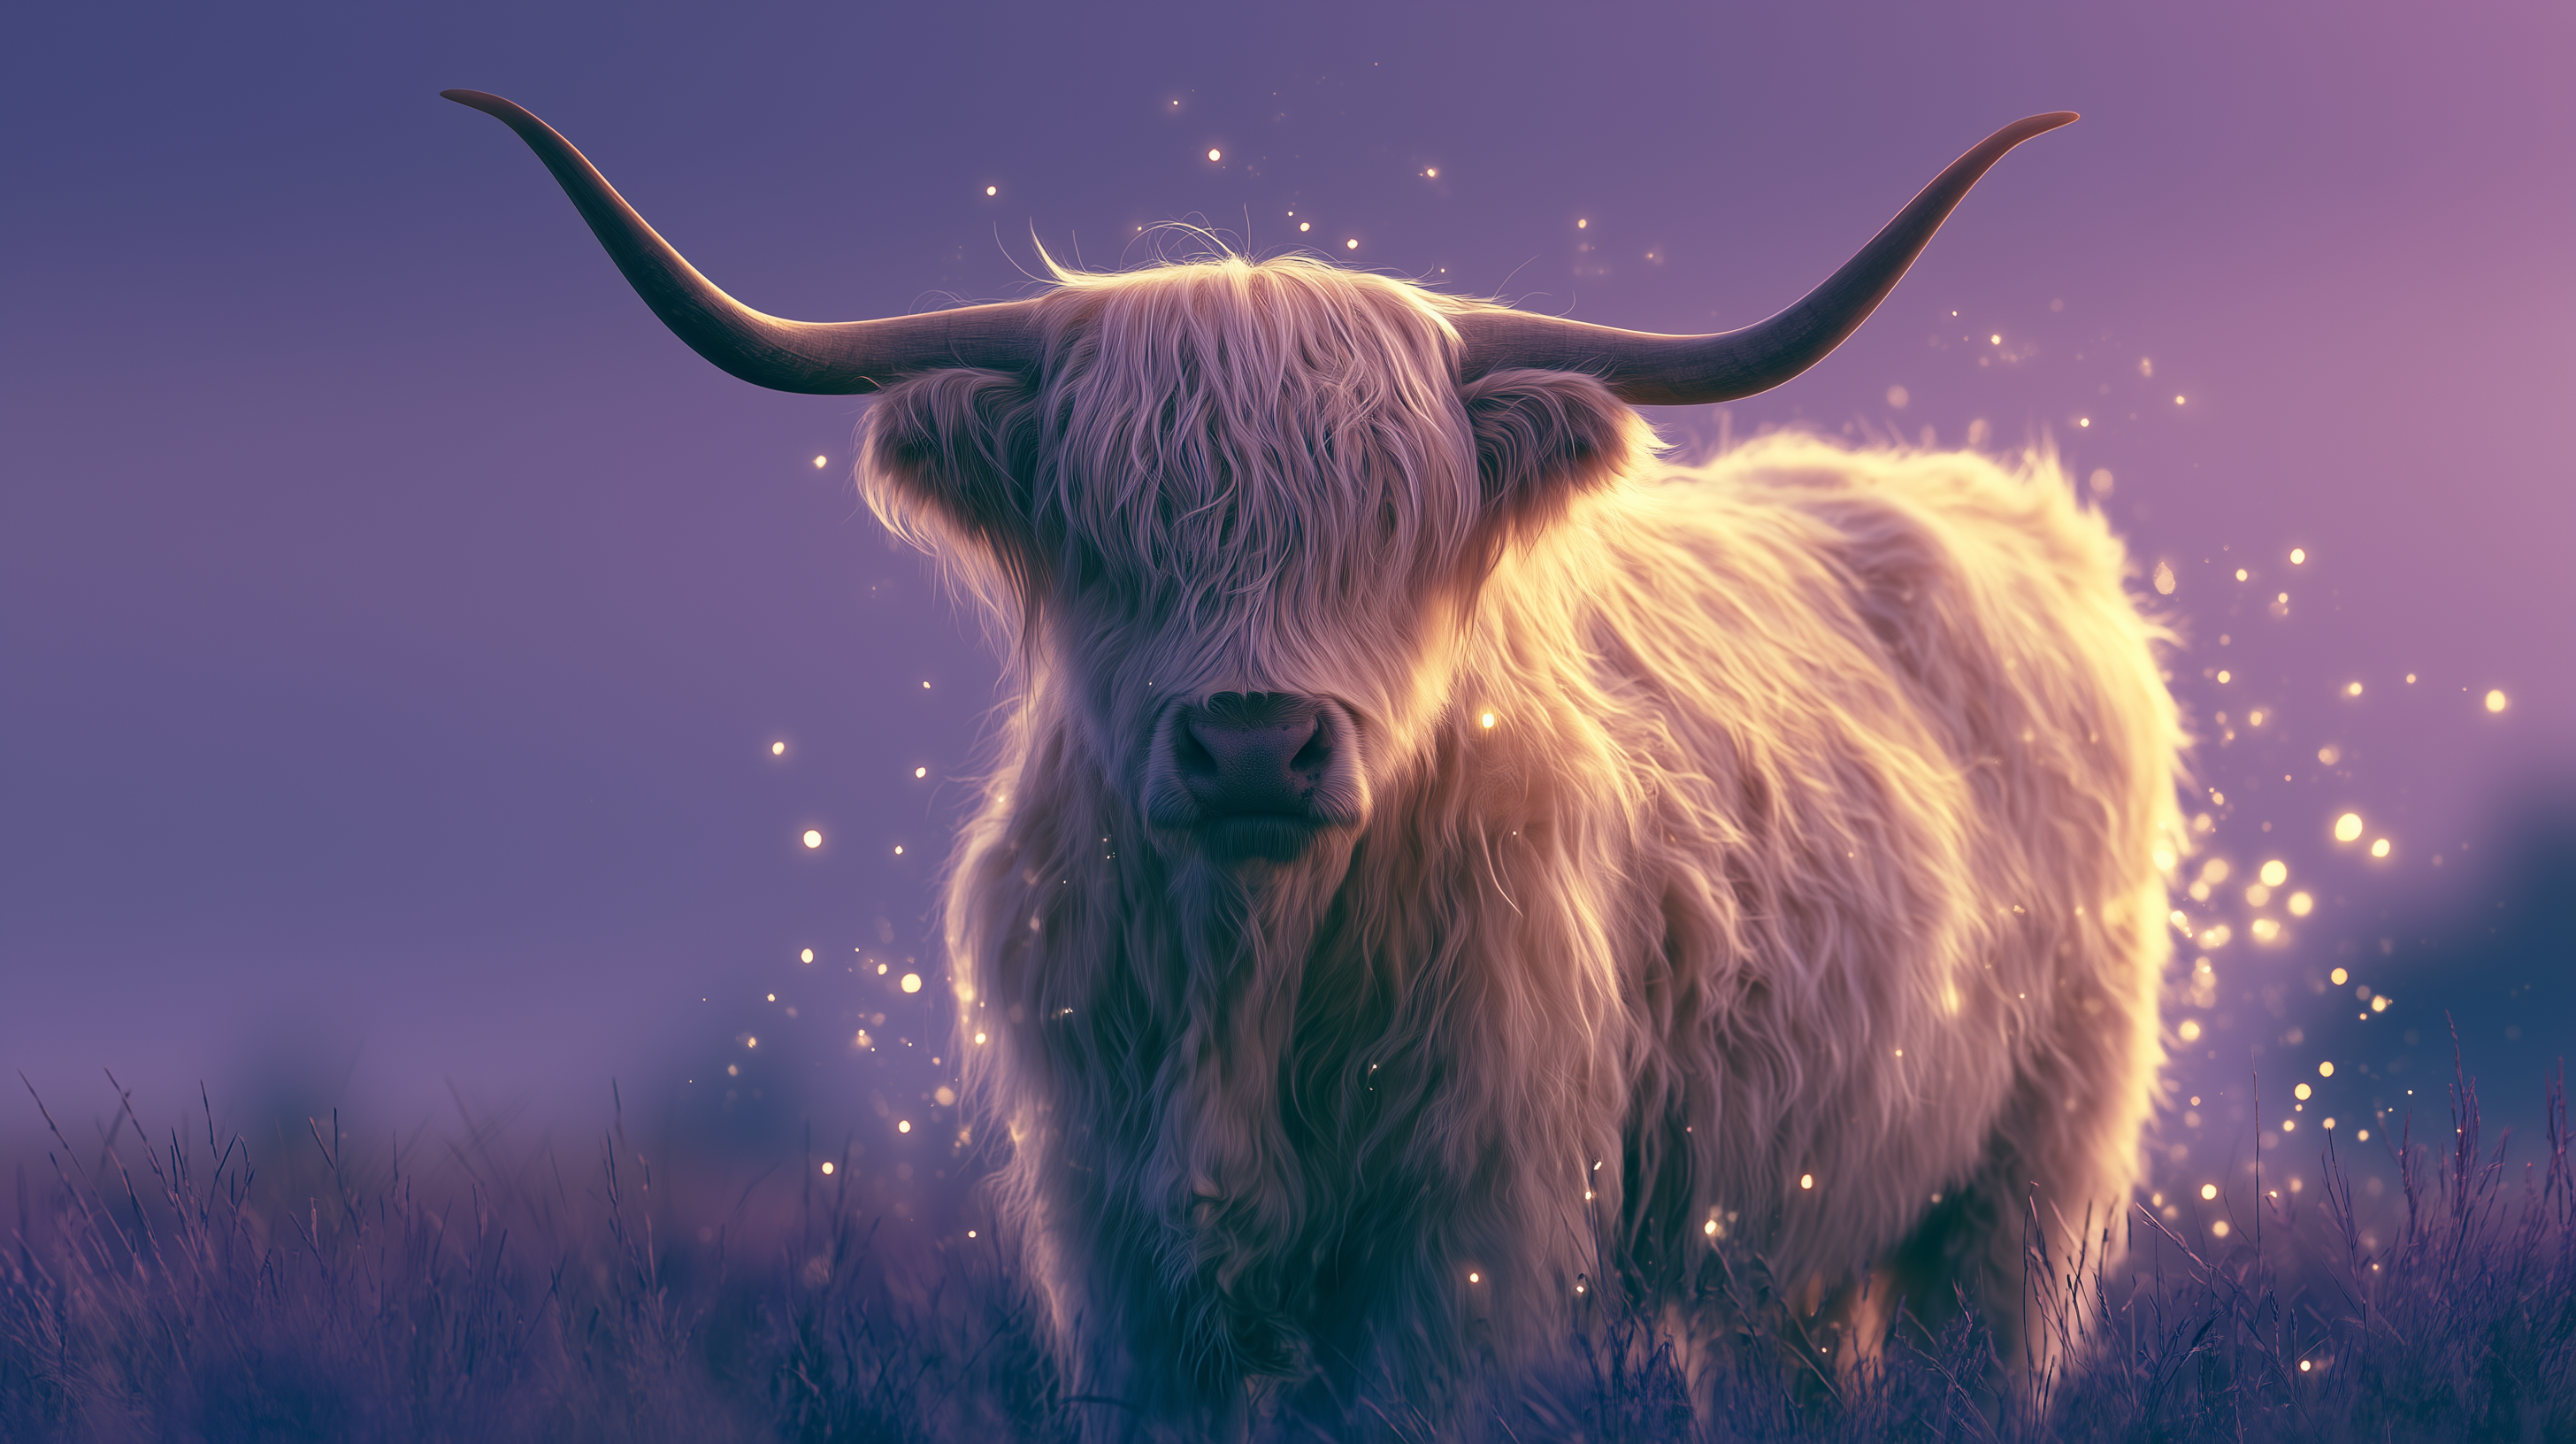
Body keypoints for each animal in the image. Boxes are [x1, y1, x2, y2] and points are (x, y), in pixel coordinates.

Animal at [449, 92, 2180, 1437]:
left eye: (1393, 526)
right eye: (1108, 527)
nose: (1249, 745)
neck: (1250, 969)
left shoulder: (1464, 1237)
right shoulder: (1118, 1240)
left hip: (2023, 1191)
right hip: (1792, 1230)